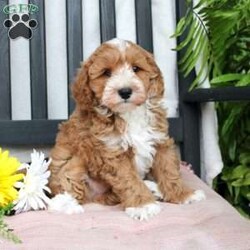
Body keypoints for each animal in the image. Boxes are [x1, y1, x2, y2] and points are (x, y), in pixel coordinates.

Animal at [48, 38, 205, 220]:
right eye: (106, 73)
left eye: (136, 69)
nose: (125, 91)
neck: (129, 113)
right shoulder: (113, 153)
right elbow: (129, 180)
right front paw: (143, 205)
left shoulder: (159, 140)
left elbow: (169, 170)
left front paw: (183, 194)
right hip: (74, 163)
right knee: (70, 190)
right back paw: (67, 205)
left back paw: (153, 189)